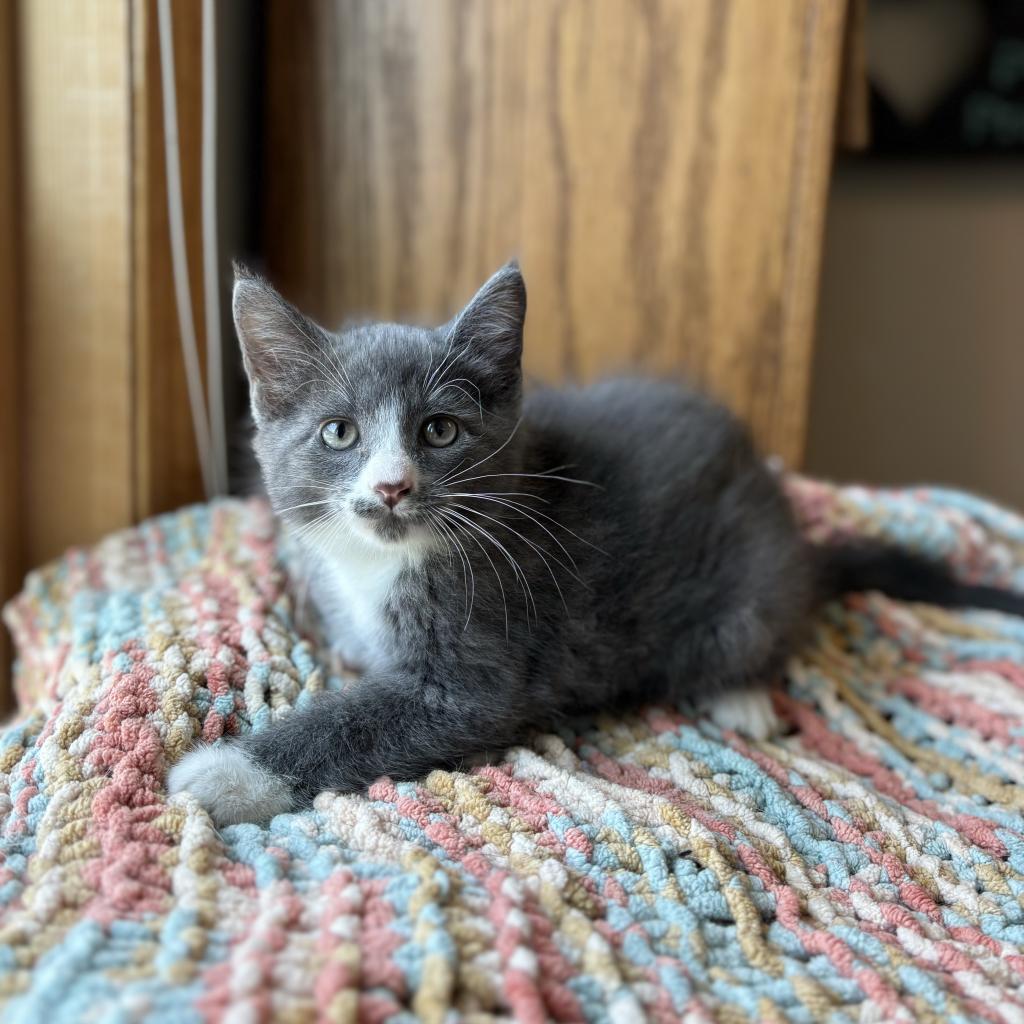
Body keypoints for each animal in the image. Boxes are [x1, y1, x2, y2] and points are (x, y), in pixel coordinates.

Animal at [169, 262, 1024, 823]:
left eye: (439, 430)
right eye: (339, 433)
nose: (391, 488)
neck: (389, 562)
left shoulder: (476, 666)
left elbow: (359, 719)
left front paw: (221, 774)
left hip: (750, 588)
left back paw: (740, 696)